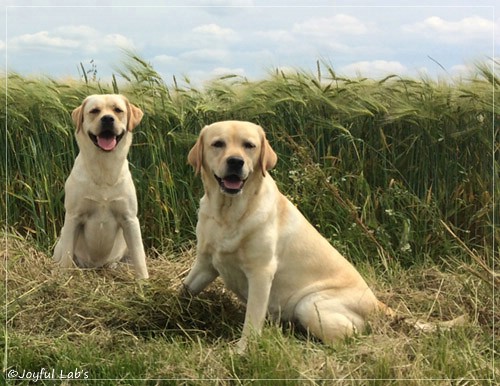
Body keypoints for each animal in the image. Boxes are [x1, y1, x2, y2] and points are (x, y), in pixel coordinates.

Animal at [54, 94, 149, 278]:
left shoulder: (130, 219)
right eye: (94, 111)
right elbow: (67, 258)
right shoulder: (73, 216)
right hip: (61, 240)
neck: (104, 169)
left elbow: (140, 257)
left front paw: (144, 281)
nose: (107, 119)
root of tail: (96, 266)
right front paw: (63, 278)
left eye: (118, 110)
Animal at [183, 120, 382, 350]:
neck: (228, 214)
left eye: (249, 145)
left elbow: (252, 319)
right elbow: (185, 288)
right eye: (218, 144)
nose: (235, 162)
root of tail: (378, 305)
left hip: (308, 305)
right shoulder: (205, 263)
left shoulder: (261, 272)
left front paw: (242, 350)